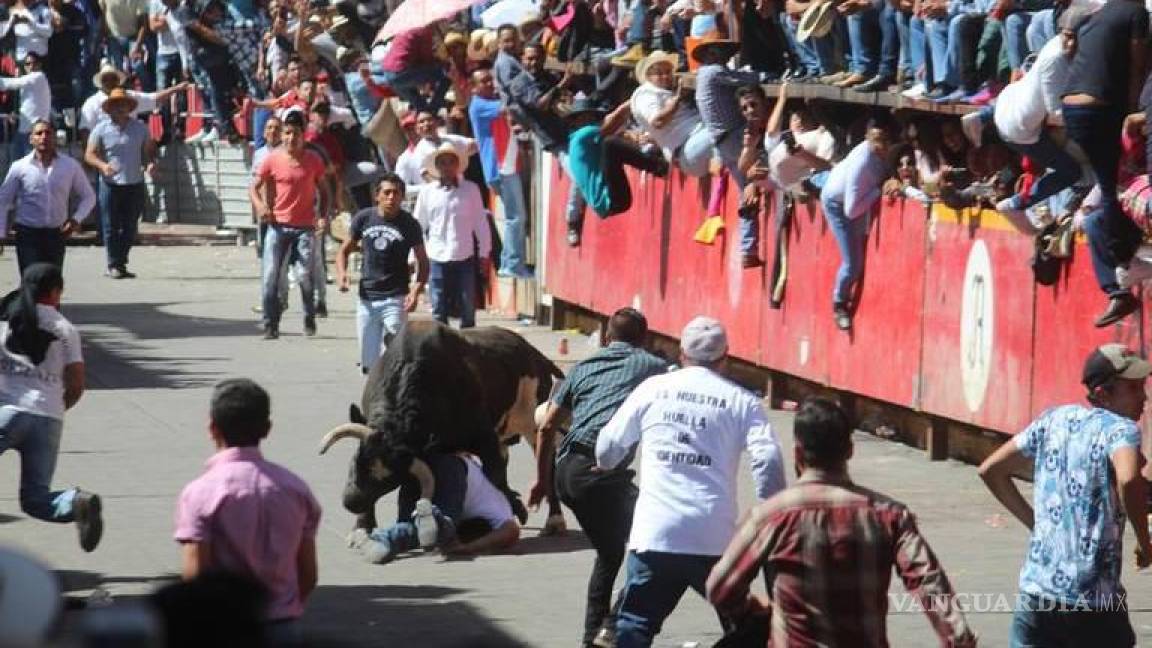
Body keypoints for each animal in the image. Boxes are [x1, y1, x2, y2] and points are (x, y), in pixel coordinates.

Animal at [317, 318, 569, 535]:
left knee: (546, 466)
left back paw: (554, 520)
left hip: (534, 423)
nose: (351, 502)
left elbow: (494, 476)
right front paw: (362, 528)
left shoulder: (484, 439)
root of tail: (534, 355)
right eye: (357, 462)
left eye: (389, 479)